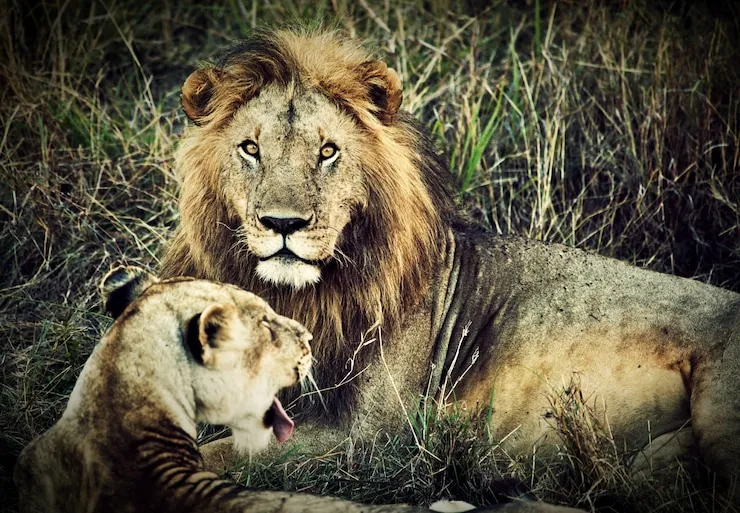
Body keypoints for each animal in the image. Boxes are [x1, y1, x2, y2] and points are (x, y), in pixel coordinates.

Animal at [160, 29, 740, 497]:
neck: (299, 295)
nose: (283, 223)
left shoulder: (370, 437)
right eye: (250, 149)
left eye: (327, 152)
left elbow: (220, 451)